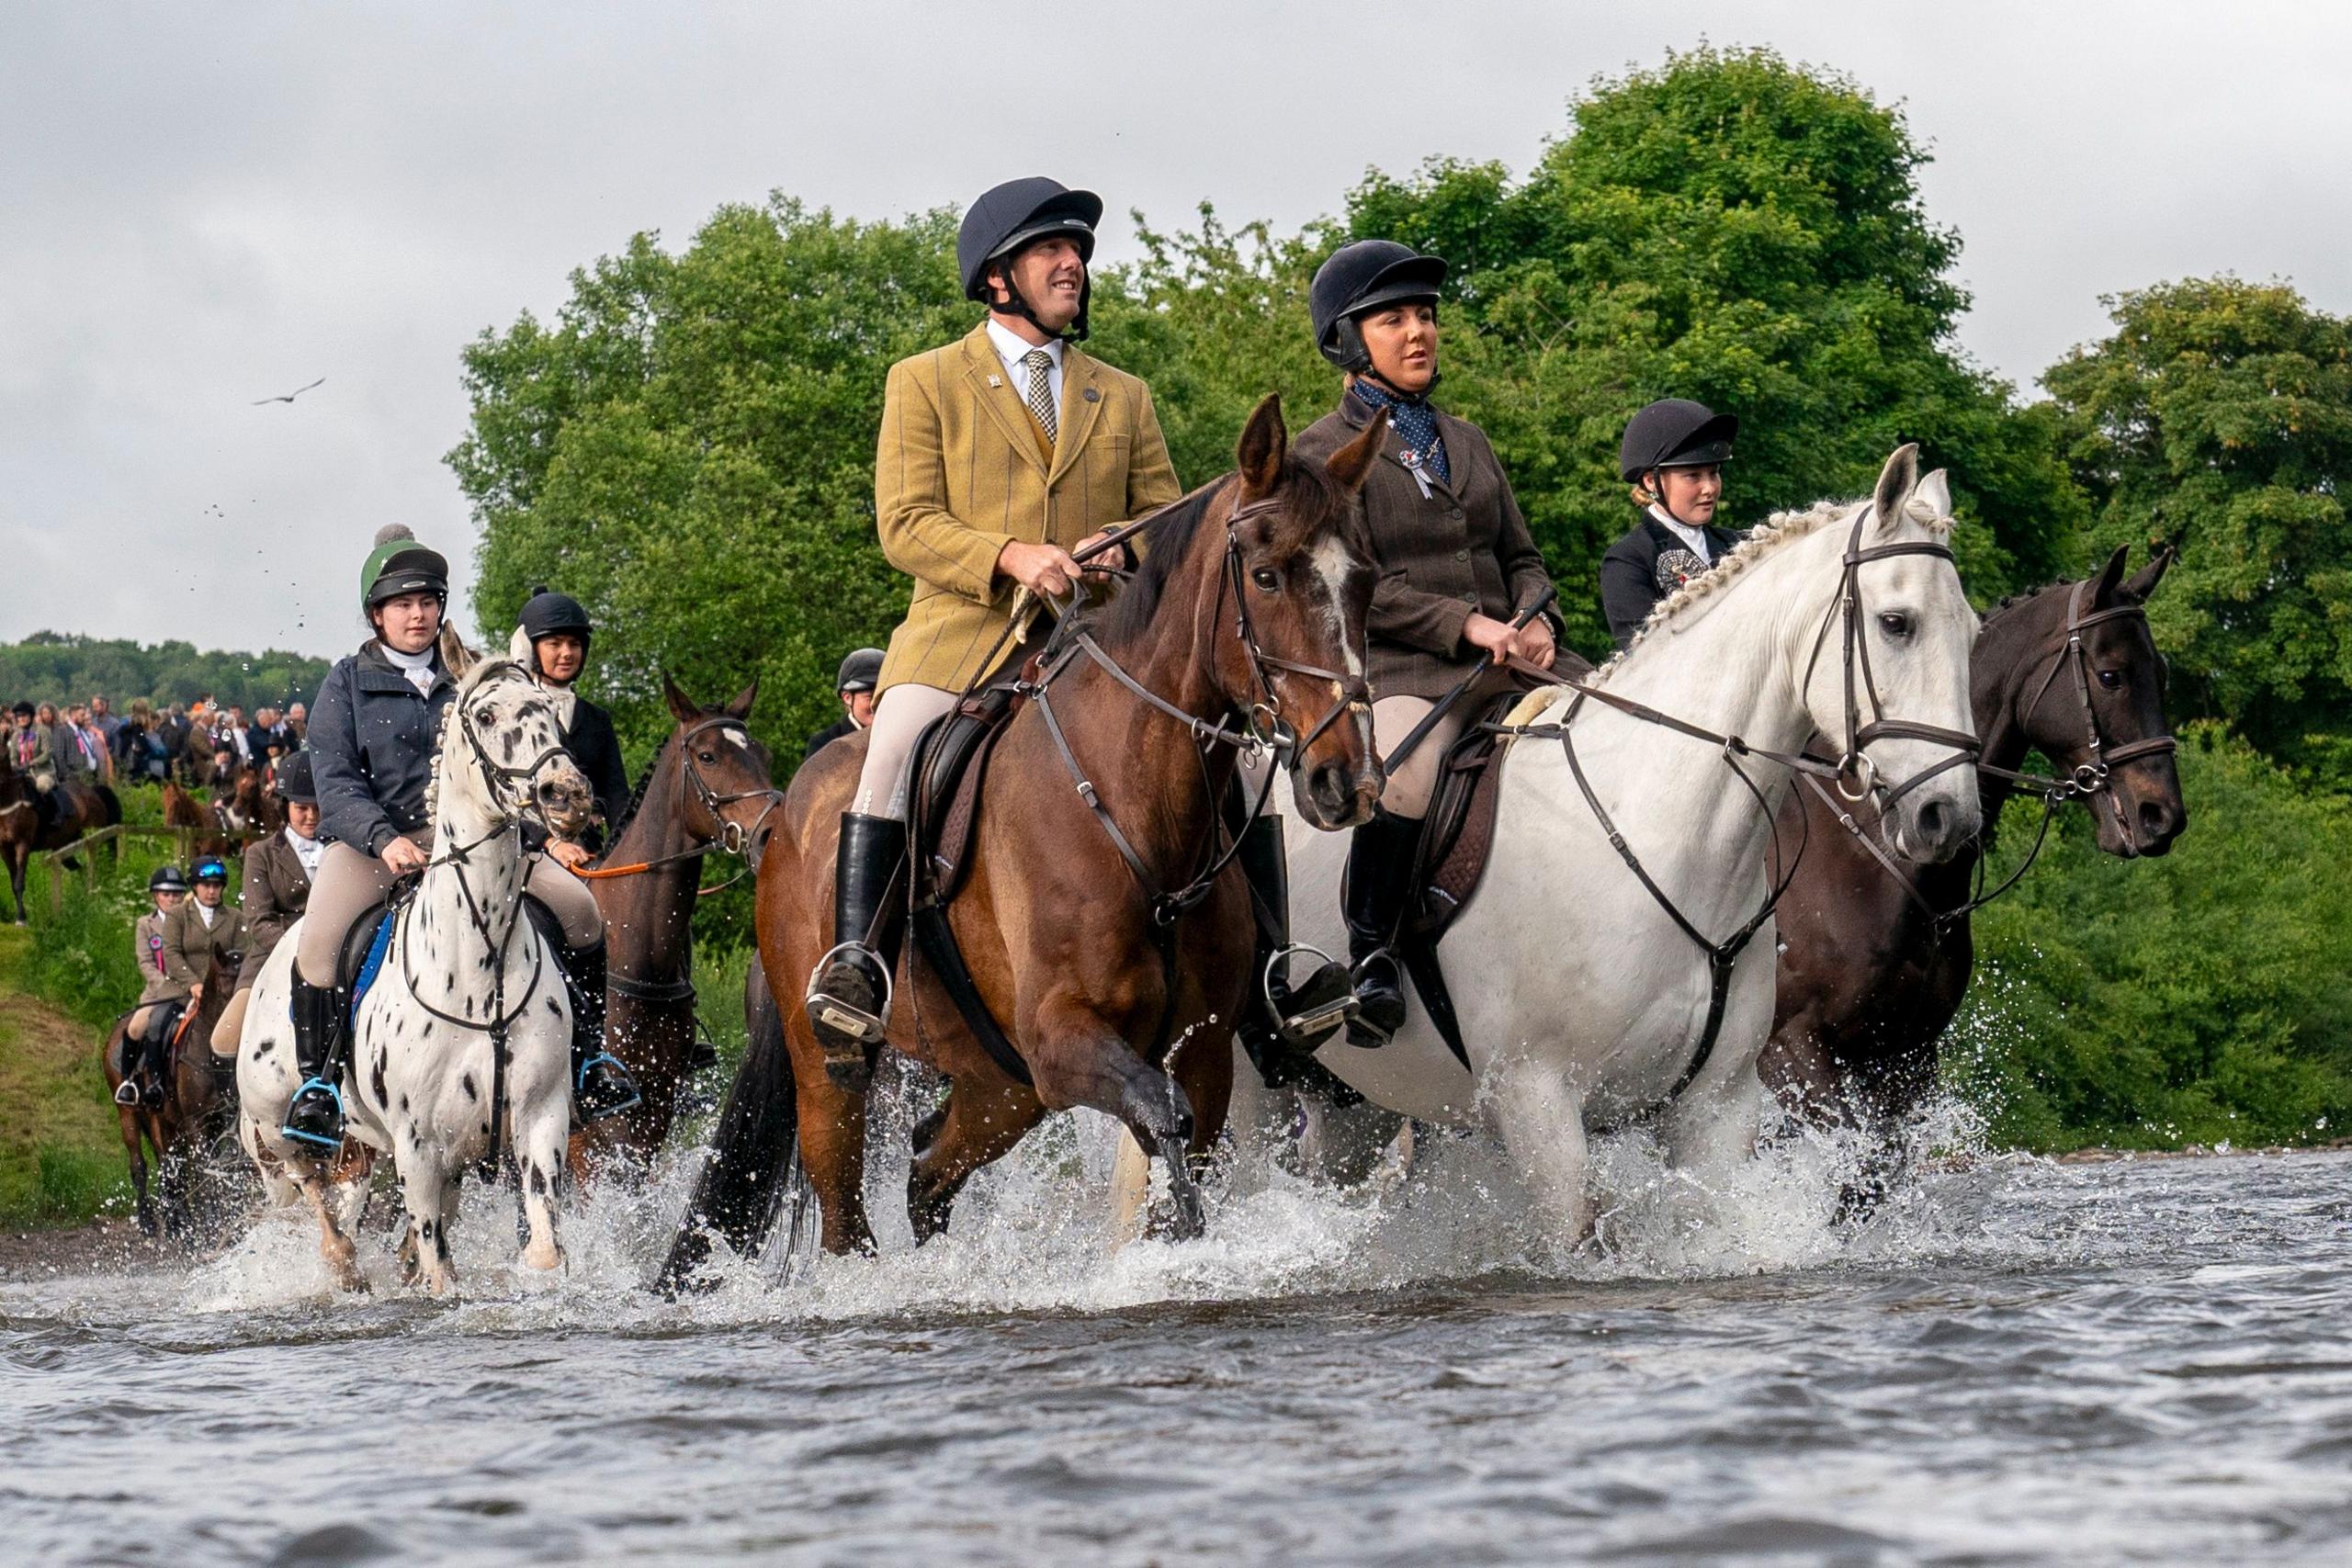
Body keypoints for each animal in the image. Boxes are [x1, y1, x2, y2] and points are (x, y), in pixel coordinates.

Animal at [101, 944, 241, 1241]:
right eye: (227, 984)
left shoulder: (217, 1120)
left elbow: (208, 1169)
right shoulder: (195, 1121)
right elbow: (200, 1171)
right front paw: (209, 1222)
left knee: (171, 1167)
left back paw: (178, 1220)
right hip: (130, 1114)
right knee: (142, 1166)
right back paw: (150, 1222)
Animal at [662, 394, 1383, 1288]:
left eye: (1367, 581)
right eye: (1267, 575)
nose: (1347, 780)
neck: (1131, 805)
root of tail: (783, 821)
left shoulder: (1203, 1049)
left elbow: (1182, 1140)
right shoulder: (1063, 1037)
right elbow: (1165, 1124)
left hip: (999, 1083)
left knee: (928, 1167)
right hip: (836, 1069)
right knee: (845, 1214)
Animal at [1769, 552, 2182, 1175]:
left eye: (2161, 674)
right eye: (2112, 675)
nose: (2163, 816)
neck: (1874, 852)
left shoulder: (1905, 1054)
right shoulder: (1792, 1047)